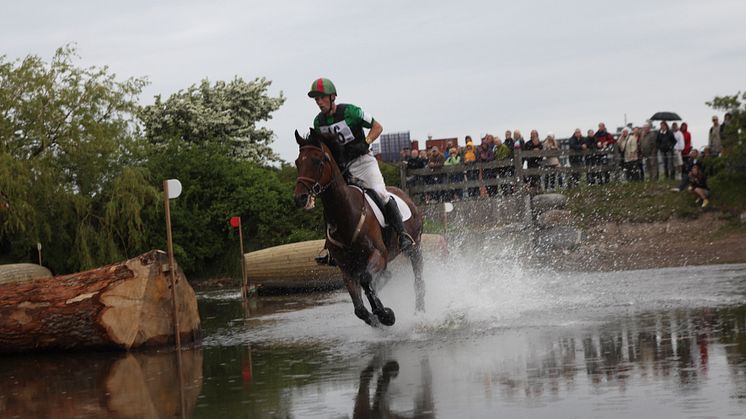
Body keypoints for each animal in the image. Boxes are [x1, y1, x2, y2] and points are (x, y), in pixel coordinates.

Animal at [290, 129, 422, 328]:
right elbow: (360, 307)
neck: (345, 215)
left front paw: (386, 315)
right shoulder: (346, 268)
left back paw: (420, 311)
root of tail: (404, 195)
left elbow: (367, 280)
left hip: (414, 247)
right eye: (298, 162)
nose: (300, 198)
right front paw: (375, 318)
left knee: (417, 278)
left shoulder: (378, 254)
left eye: (318, 161)